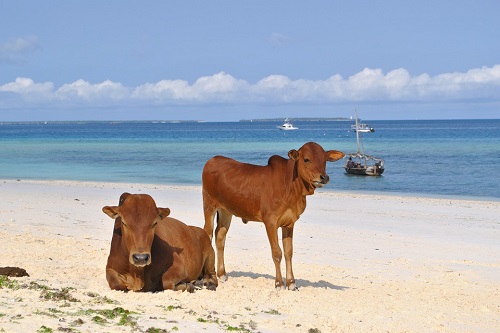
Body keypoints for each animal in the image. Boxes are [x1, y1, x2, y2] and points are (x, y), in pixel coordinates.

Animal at [202, 140, 344, 288]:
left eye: (325, 160)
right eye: (306, 159)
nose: (324, 177)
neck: (291, 187)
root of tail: (212, 160)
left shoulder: (289, 223)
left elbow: (288, 252)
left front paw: (291, 282)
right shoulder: (270, 222)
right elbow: (277, 253)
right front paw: (279, 283)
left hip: (226, 211)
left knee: (220, 236)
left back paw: (222, 274)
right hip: (209, 206)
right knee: (208, 233)